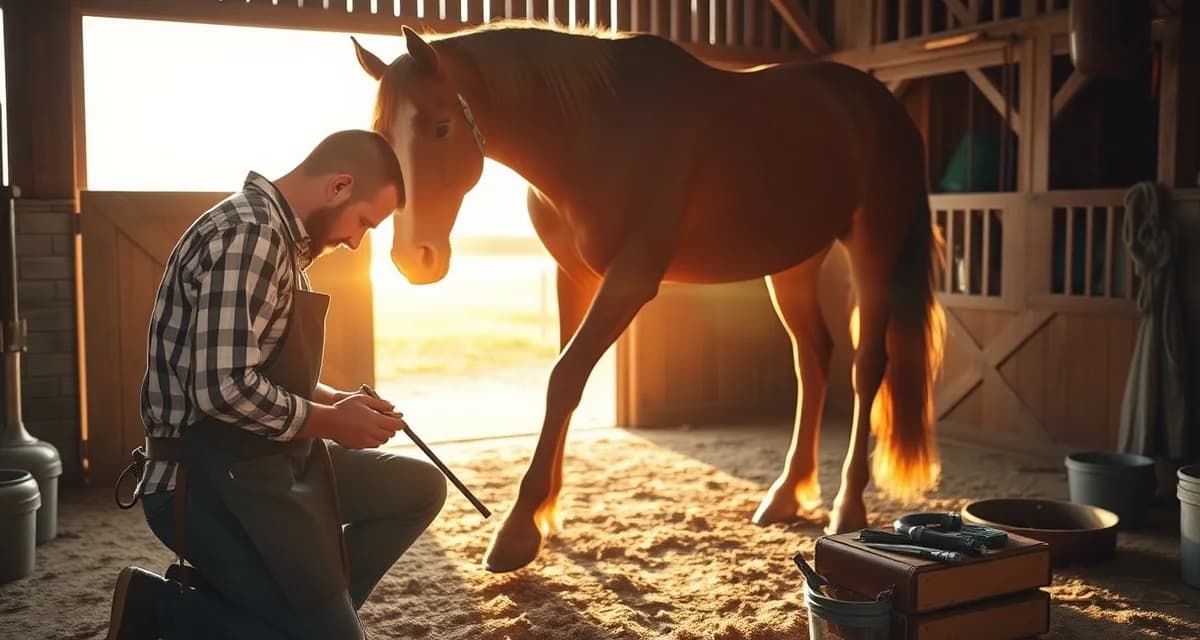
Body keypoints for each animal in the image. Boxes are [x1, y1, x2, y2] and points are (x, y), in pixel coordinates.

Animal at [351, 20, 946, 573]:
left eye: (441, 128)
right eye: (380, 135)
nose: (414, 258)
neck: (595, 132)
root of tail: (881, 106)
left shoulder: (630, 279)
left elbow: (565, 378)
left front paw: (518, 529)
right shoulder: (573, 277)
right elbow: (563, 385)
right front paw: (546, 513)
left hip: (874, 249)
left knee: (866, 367)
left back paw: (848, 506)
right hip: (794, 265)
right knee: (814, 360)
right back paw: (785, 494)